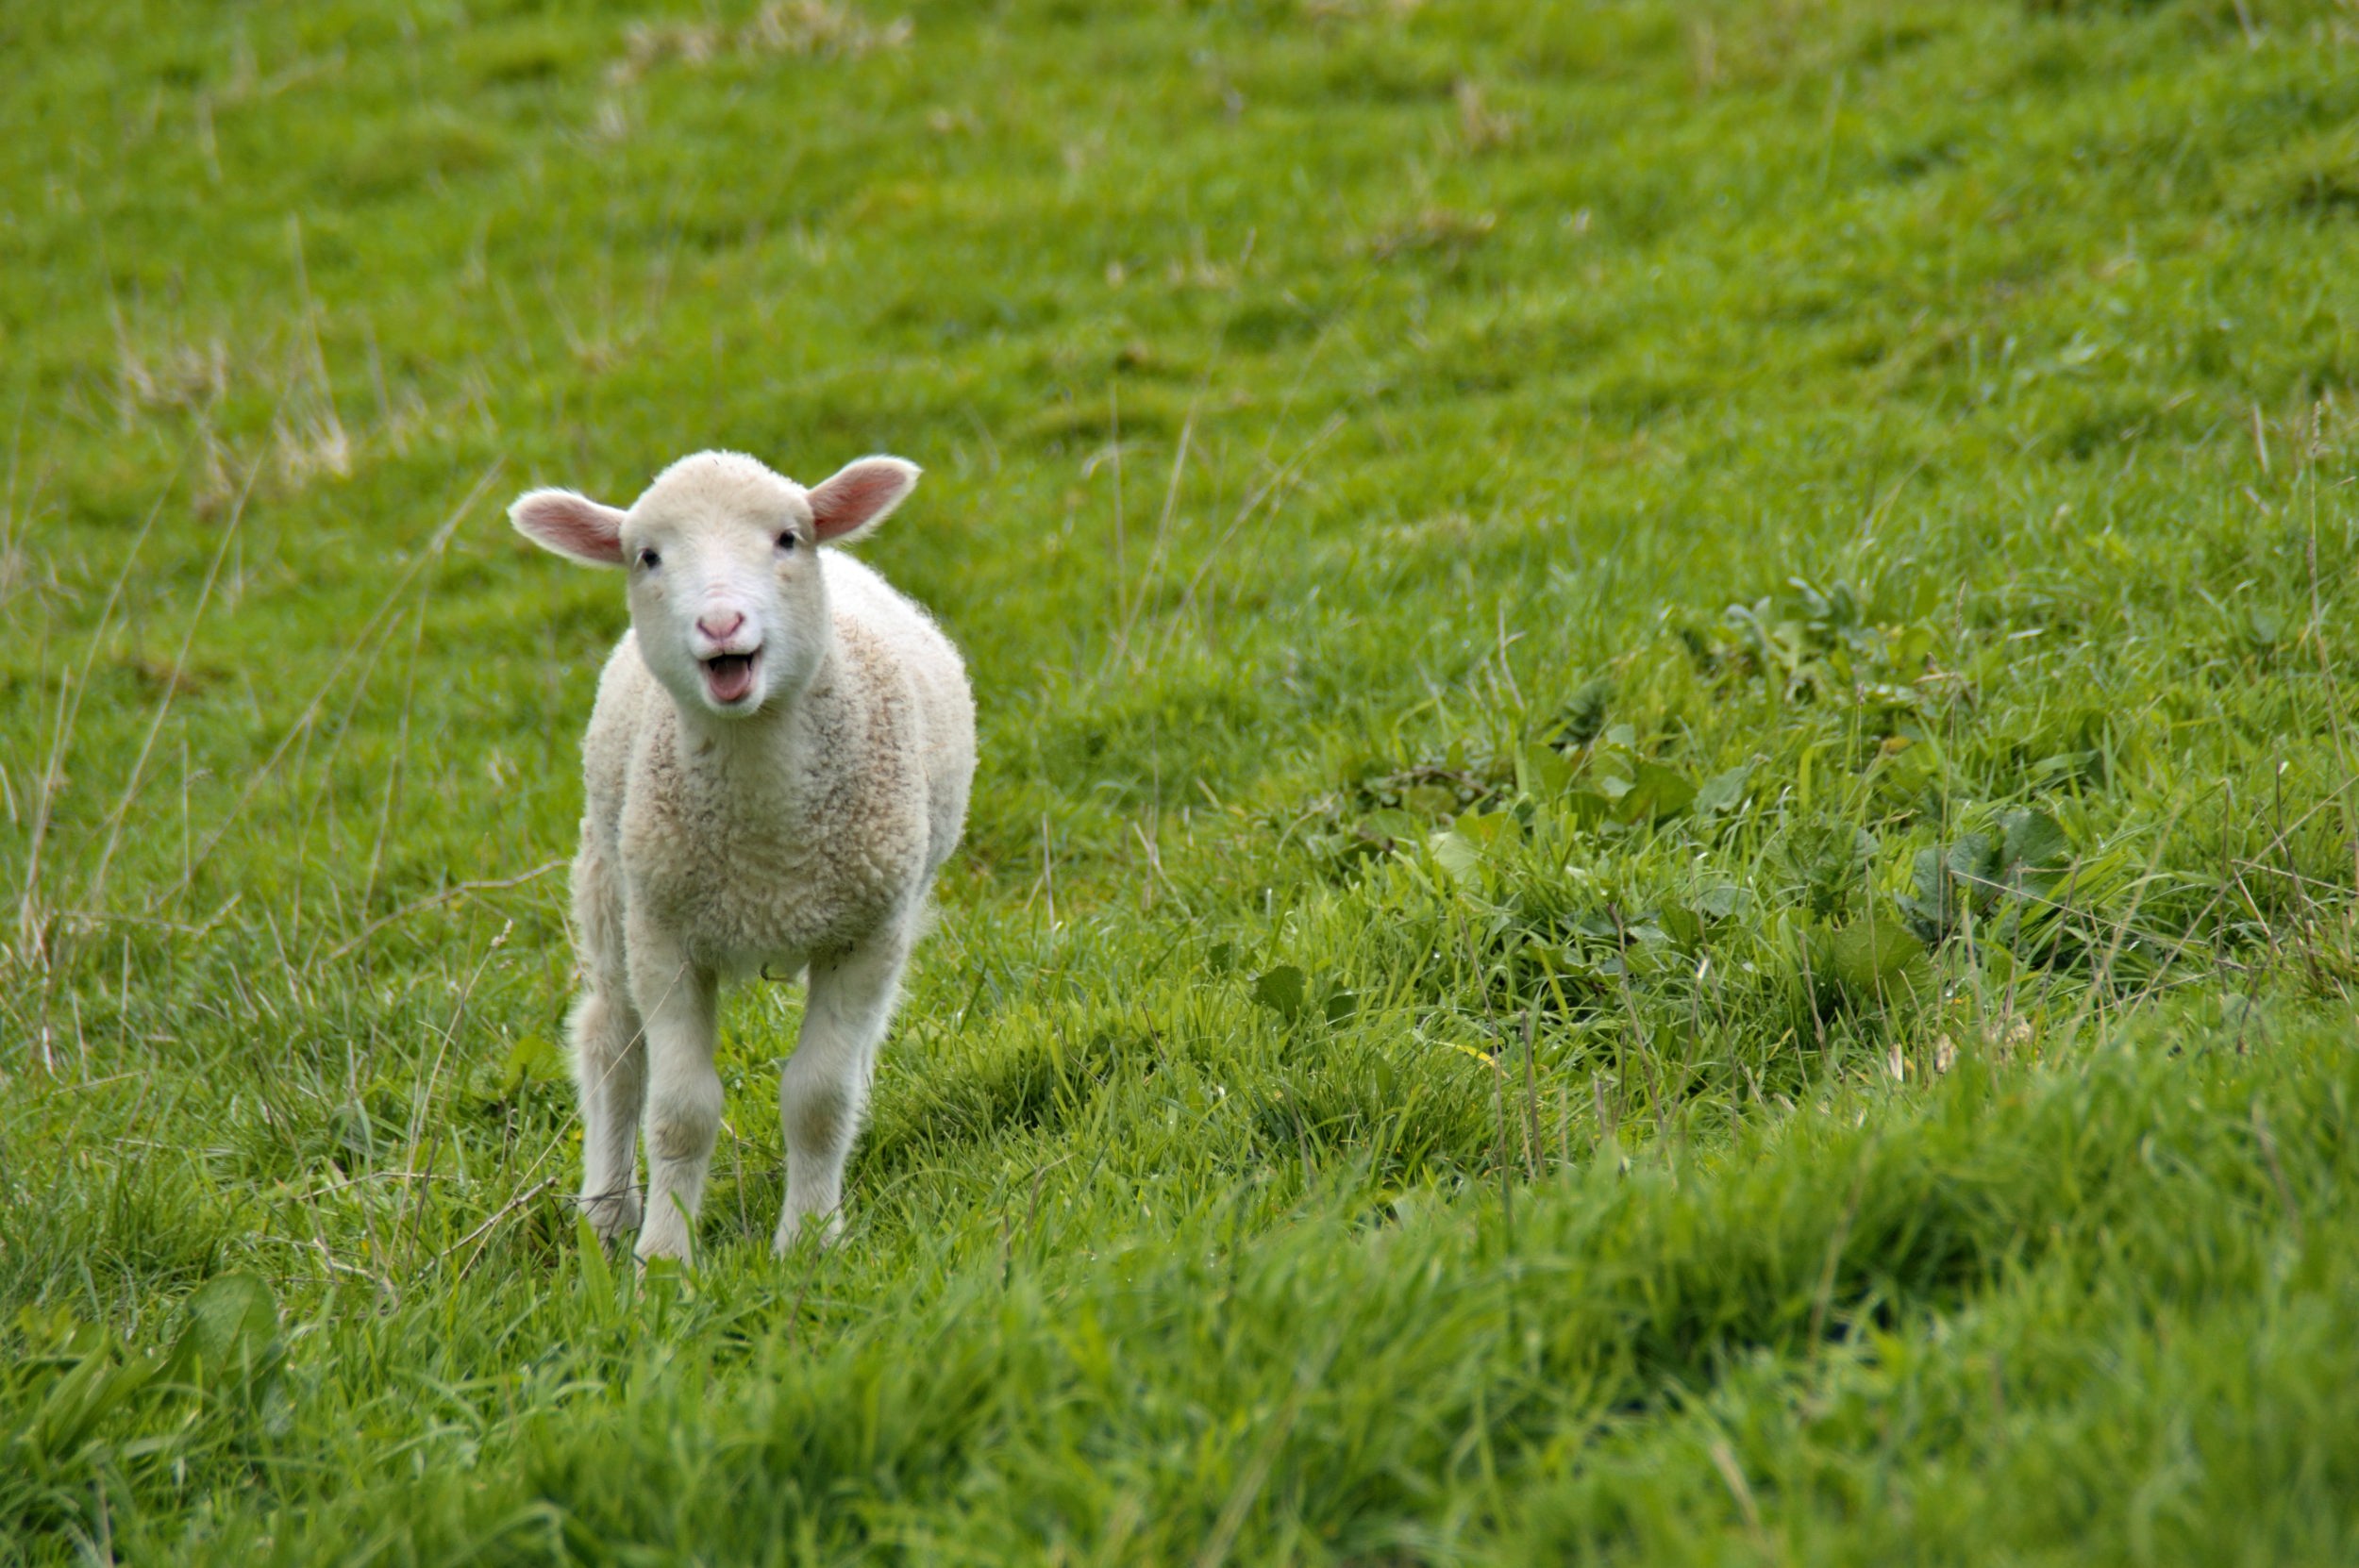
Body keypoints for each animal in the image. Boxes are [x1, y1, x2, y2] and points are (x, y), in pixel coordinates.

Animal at [509, 449, 974, 1263]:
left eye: (788, 538)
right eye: (647, 556)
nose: (721, 623)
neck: (768, 851)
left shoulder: (867, 933)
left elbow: (820, 1098)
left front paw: (809, 1241)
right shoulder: (665, 936)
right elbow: (680, 1112)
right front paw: (664, 1258)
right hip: (610, 879)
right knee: (611, 1043)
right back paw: (607, 1212)